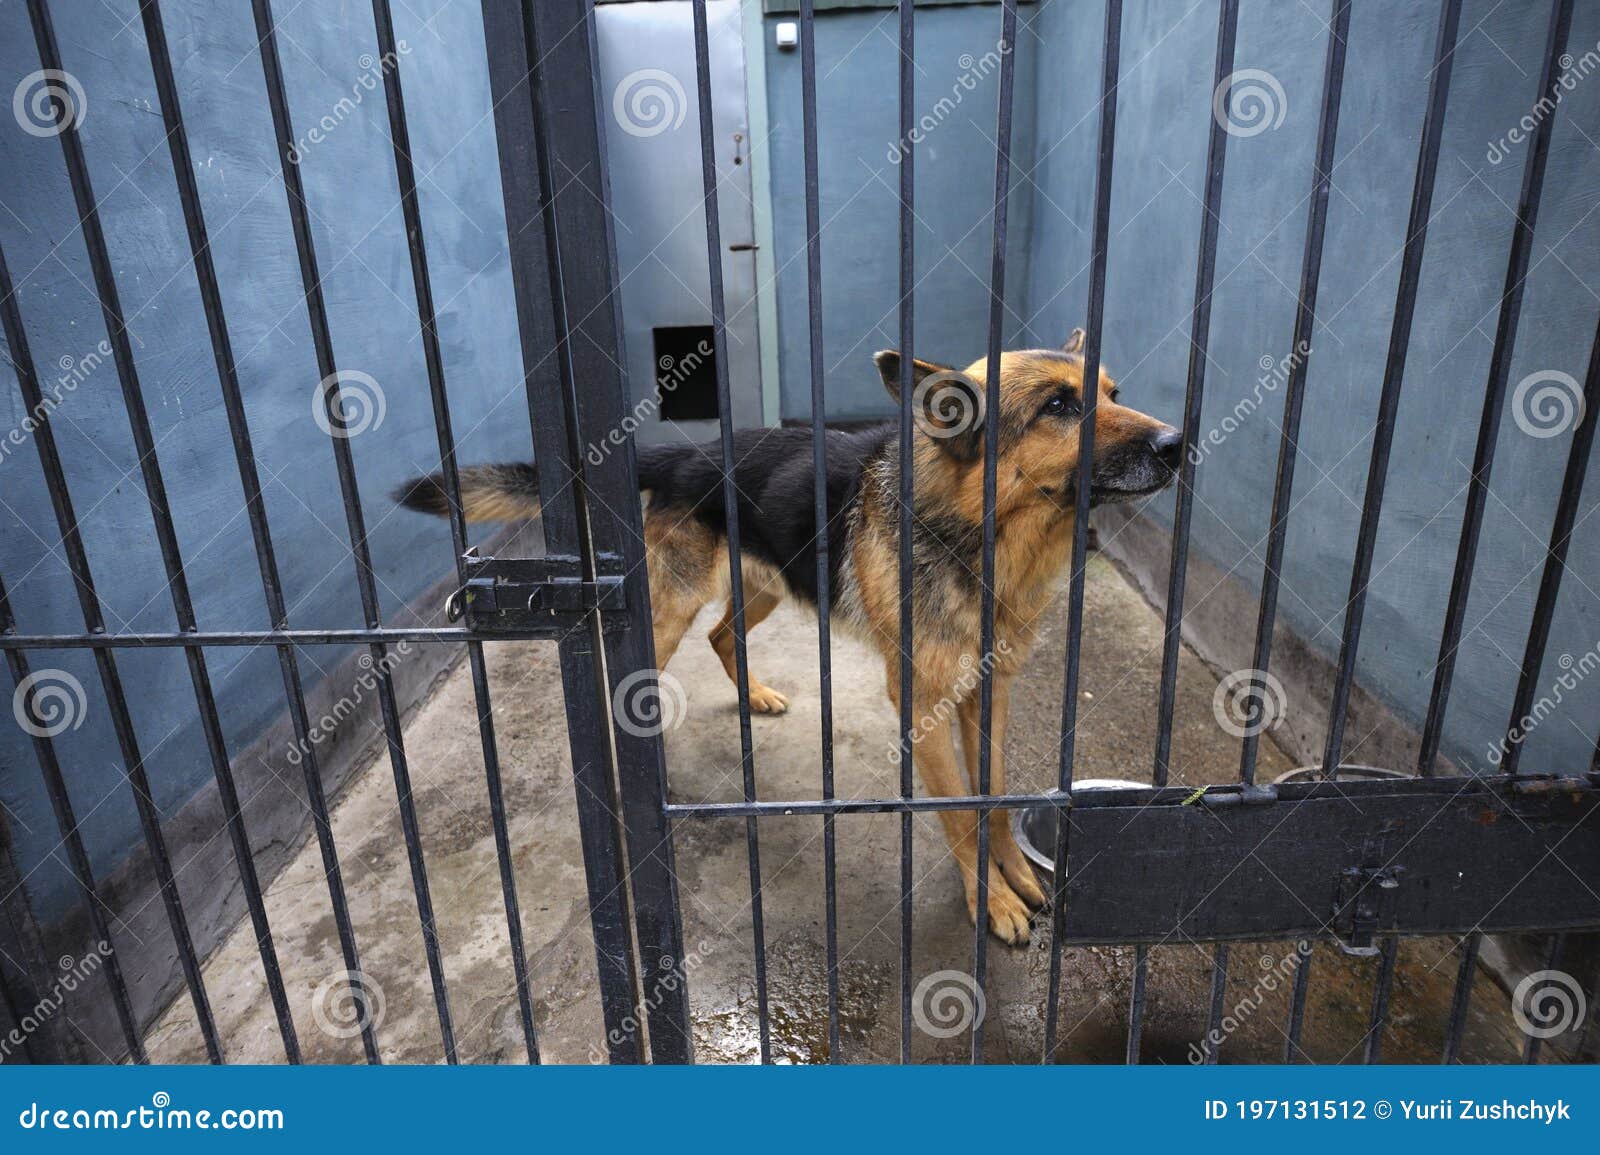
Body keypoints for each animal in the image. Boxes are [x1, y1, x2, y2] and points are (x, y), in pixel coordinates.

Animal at [398, 327, 1177, 940]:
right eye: (1059, 407)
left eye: (1113, 392)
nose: (1177, 442)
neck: (976, 533)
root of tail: (686, 451)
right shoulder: (921, 704)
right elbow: (960, 815)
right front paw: (991, 901)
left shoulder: (991, 694)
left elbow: (995, 794)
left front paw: (1014, 876)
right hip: (668, 612)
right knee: (639, 674)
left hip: (770, 588)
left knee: (722, 638)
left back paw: (757, 697)